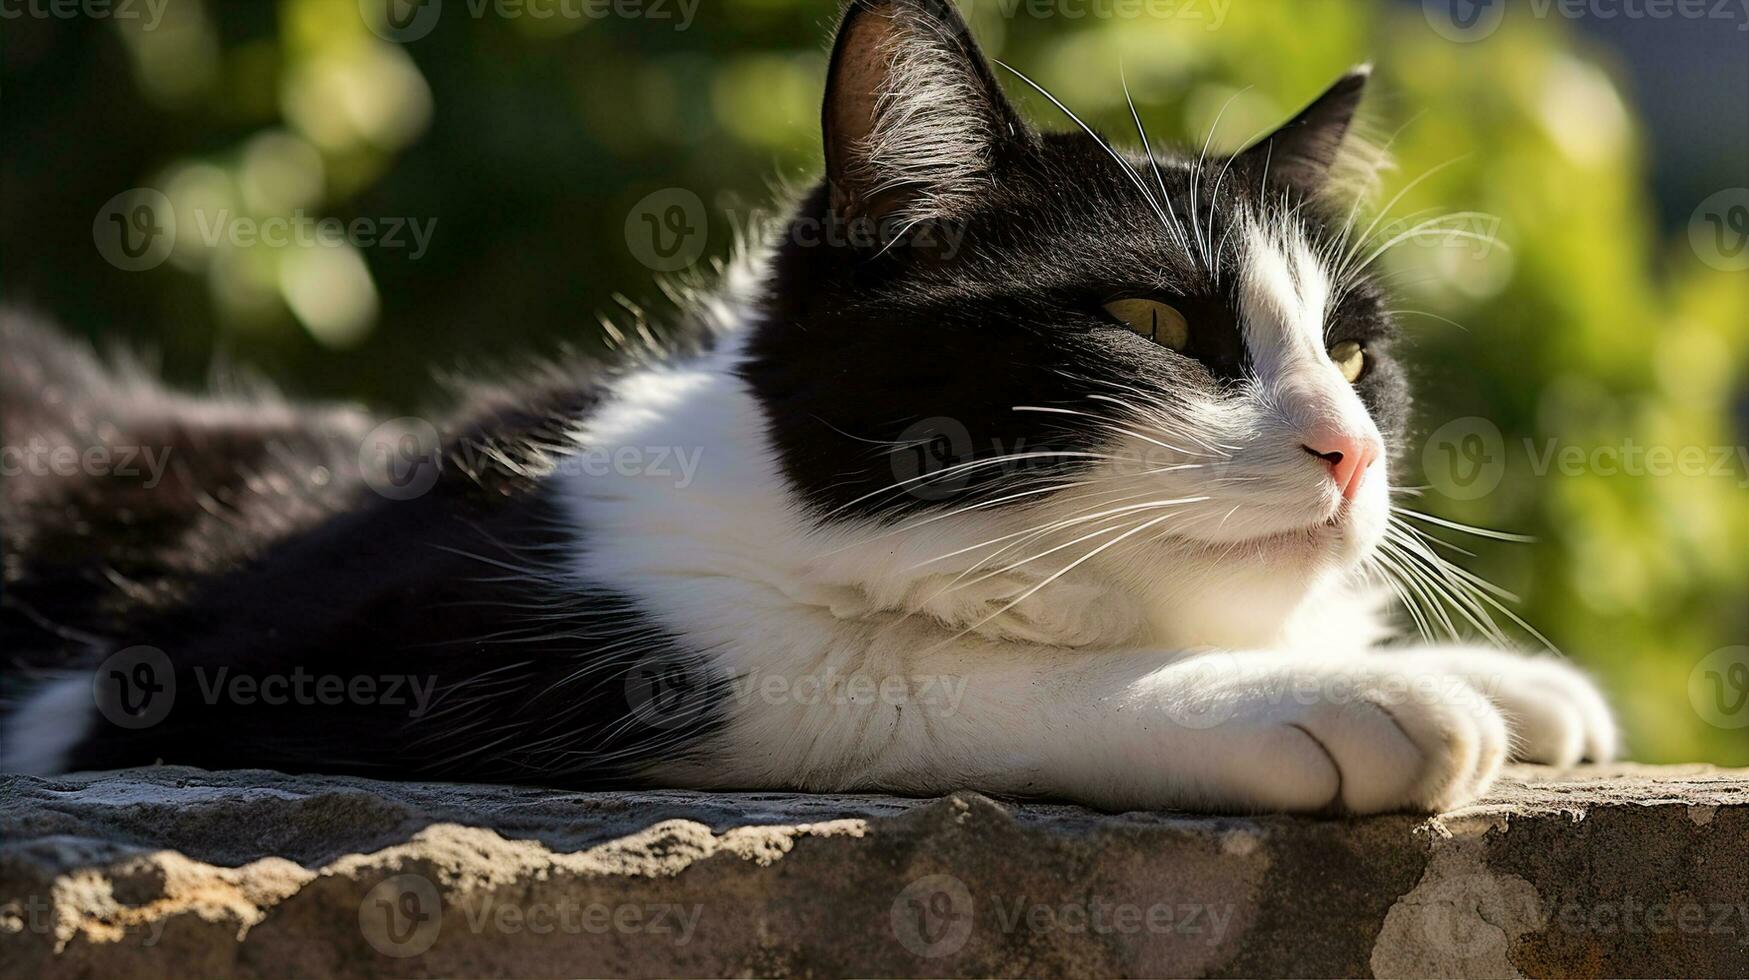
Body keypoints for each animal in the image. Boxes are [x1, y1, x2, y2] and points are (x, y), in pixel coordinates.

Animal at [0, 0, 1609, 812]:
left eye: (1354, 352)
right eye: (1153, 323)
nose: (1351, 449)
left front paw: (1508, 685)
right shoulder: (233, 663)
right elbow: (879, 667)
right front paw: (1336, 694)